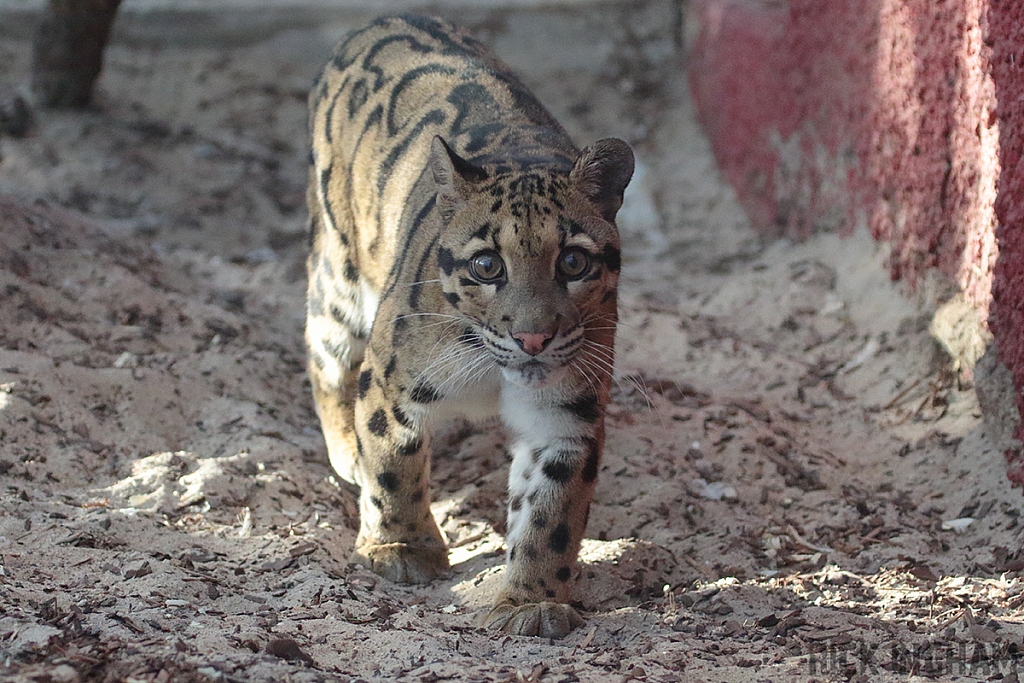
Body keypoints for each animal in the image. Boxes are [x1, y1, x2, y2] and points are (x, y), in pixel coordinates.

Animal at [305, 13, 630, 638]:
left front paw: (531, 600)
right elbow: (393, 464)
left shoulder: (567, 417)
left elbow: (550, 514)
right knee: (323, 355)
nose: (533, 337)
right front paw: (400, 547)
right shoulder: (388, 381)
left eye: (573, 263)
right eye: (487, 266)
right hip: (339, 268)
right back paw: (346, 451)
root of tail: (380, 18)